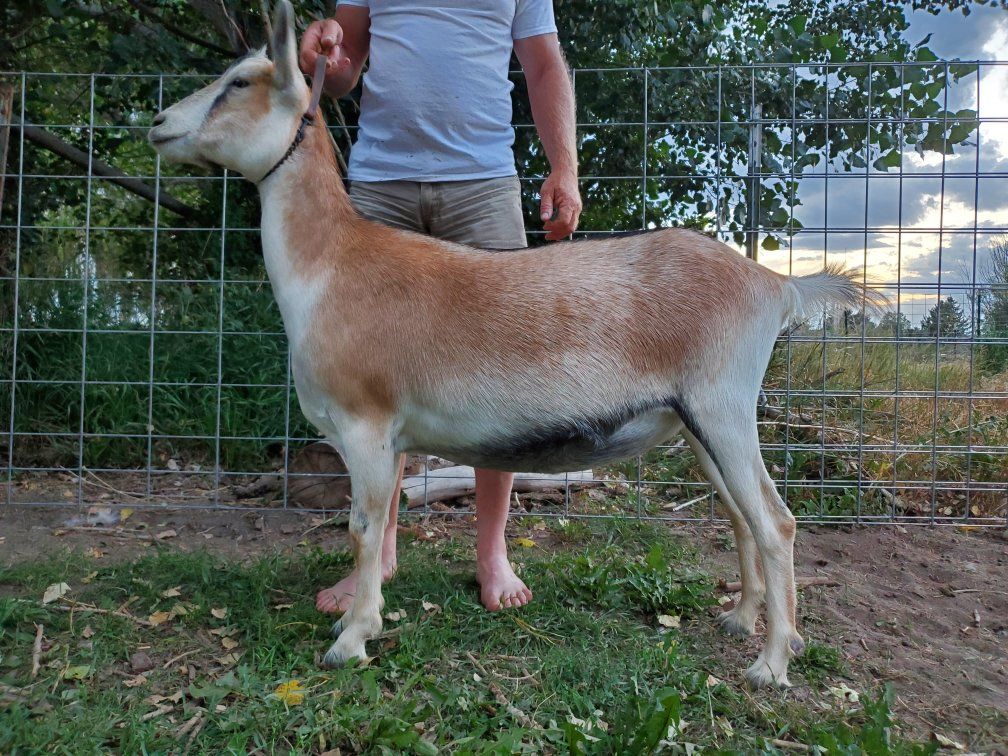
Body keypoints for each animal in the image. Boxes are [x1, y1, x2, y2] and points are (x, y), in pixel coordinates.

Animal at [150, 0, 880, 687]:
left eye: (241, 81)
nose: (158, 125)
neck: (333, 266)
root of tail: (773, 283)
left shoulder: (365, 424)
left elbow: (362, 526)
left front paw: (351, 639)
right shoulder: (392, 436)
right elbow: (382, 525)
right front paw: (360, 616)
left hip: (723, 406)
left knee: (776, 523)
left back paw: (771, 664)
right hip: (699, 423)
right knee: (740, 516)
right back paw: (741, 620)